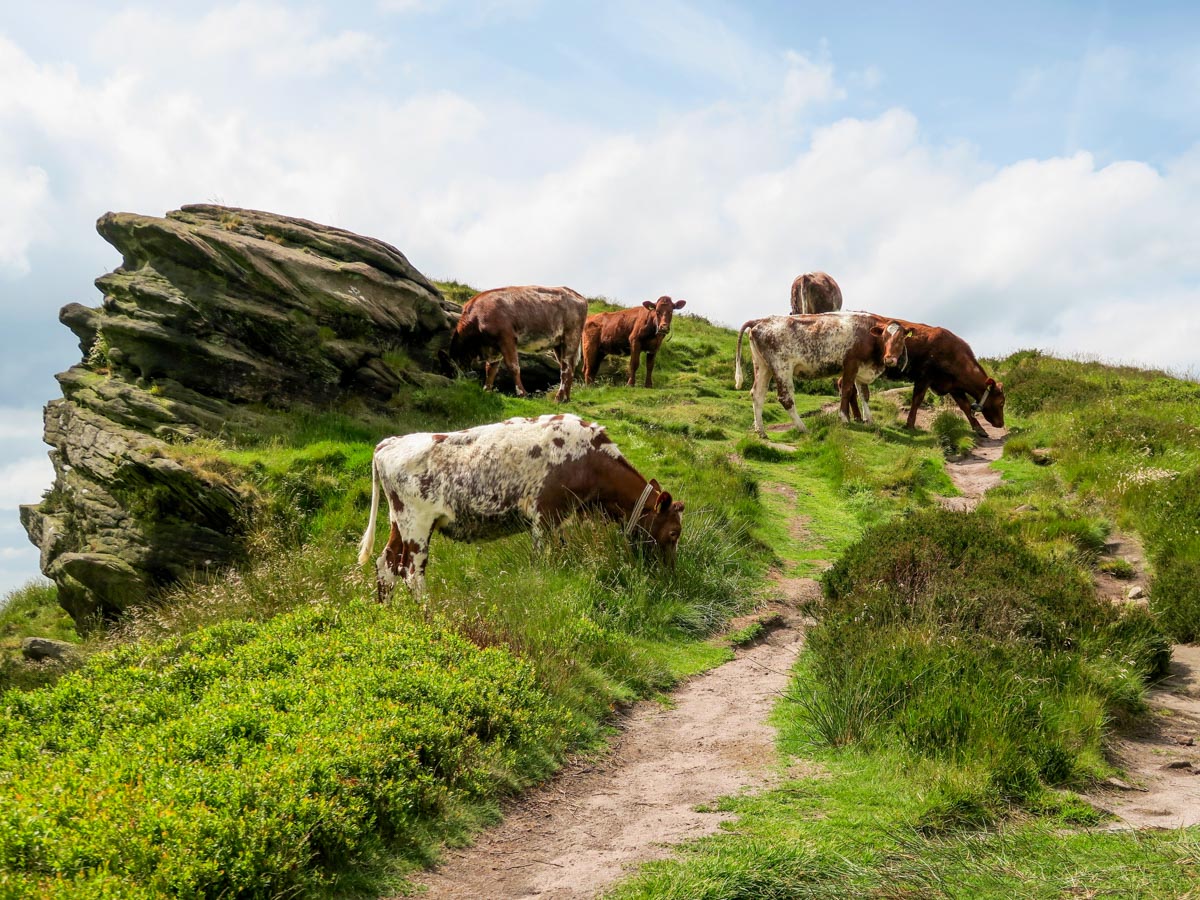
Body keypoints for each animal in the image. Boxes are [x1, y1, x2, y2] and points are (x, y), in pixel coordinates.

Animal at [352, 415, 686, 600]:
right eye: (673, 533)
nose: (672, 573)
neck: (589, 460)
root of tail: (388, 443)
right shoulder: (544, 515)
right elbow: (543, 561)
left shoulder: (560, 520)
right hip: (417, 524)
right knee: (411, 573)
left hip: (398, 522)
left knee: (386, 564)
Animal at [444, 286, 588, 403]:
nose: (456, 380)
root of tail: (578, 296)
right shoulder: (493, 347)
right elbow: (491, 369)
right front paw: (487, 390)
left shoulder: (506, 338)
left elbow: (513, 366)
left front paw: (522, 393)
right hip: (559, 343)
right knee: (567, 367)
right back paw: (566, 398)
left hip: (571, 336)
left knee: (566, 368)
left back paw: (558, 398)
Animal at [729, 314, 907, 436]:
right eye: (885, 337)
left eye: (901, 339)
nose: (890, 358)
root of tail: (760, 320)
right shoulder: (851, 364)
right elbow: (847, 391)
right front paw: (844, 418)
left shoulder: (862, 369)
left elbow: (864, 394)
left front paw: (868, 419)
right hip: (782, 367)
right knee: (785, 398)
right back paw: (802, 428)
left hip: (762, 366)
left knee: (757, 394)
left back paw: (761, 431)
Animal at [849, 321, 1008, 436]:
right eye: (1001, 402)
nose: (1001, 423)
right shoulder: (924, 377)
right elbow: (917, 400)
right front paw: (910, 425)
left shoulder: (953, 386)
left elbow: (966, 406)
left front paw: (979, 429)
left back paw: (857, 417)